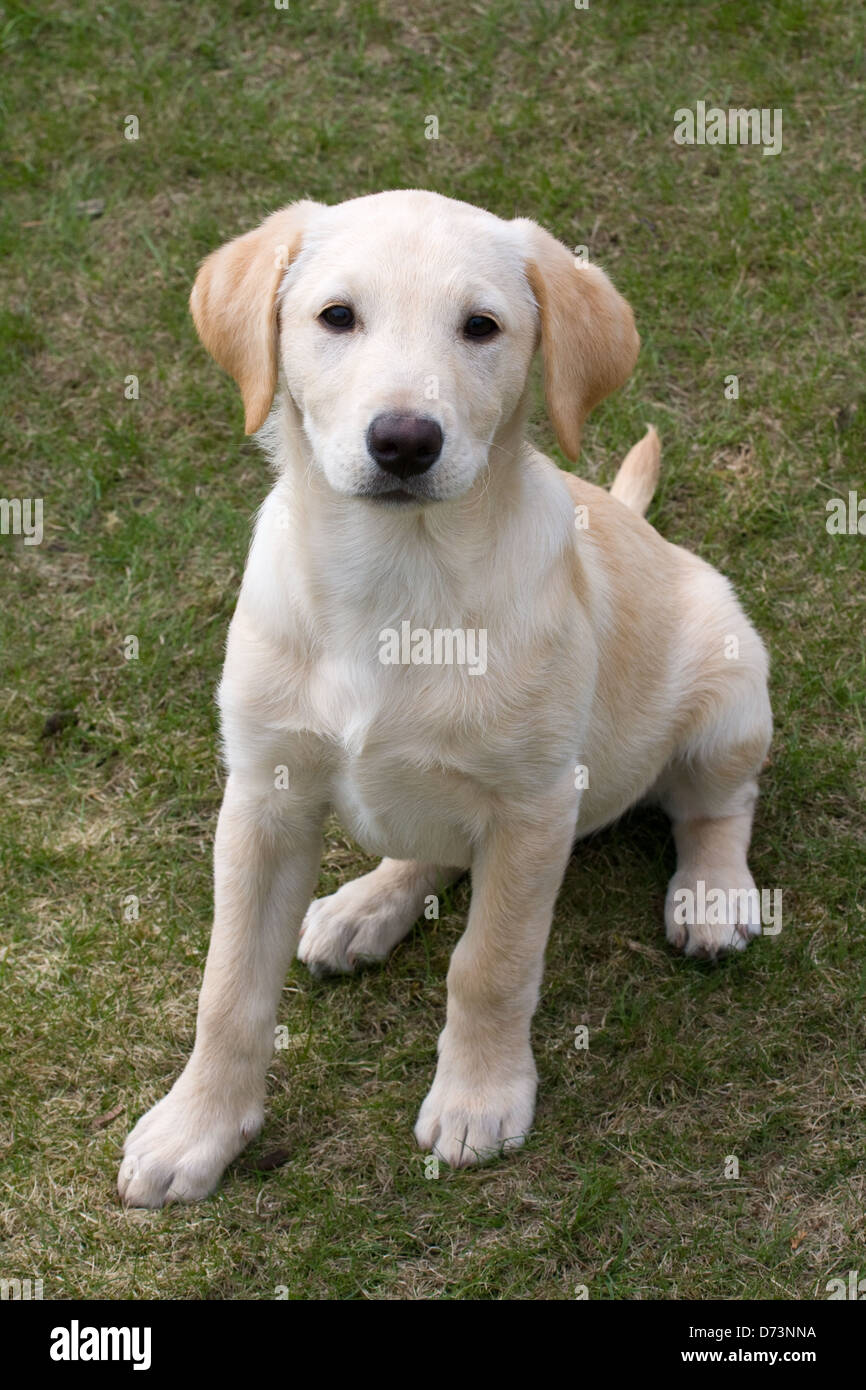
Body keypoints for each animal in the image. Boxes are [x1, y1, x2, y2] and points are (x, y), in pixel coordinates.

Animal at [116, 187, 772, 1206]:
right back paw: (364, 906)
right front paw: (198, 1128)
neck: (398, 585)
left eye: (481, 328)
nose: (404, 441)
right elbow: (228, 987)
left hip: (729, 685)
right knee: (430, 848)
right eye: (336, 316)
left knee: (717, 805)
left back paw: (710, 894)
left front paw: (478, 1097)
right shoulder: (262, 795)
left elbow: (490, 964)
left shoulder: (535, 806)